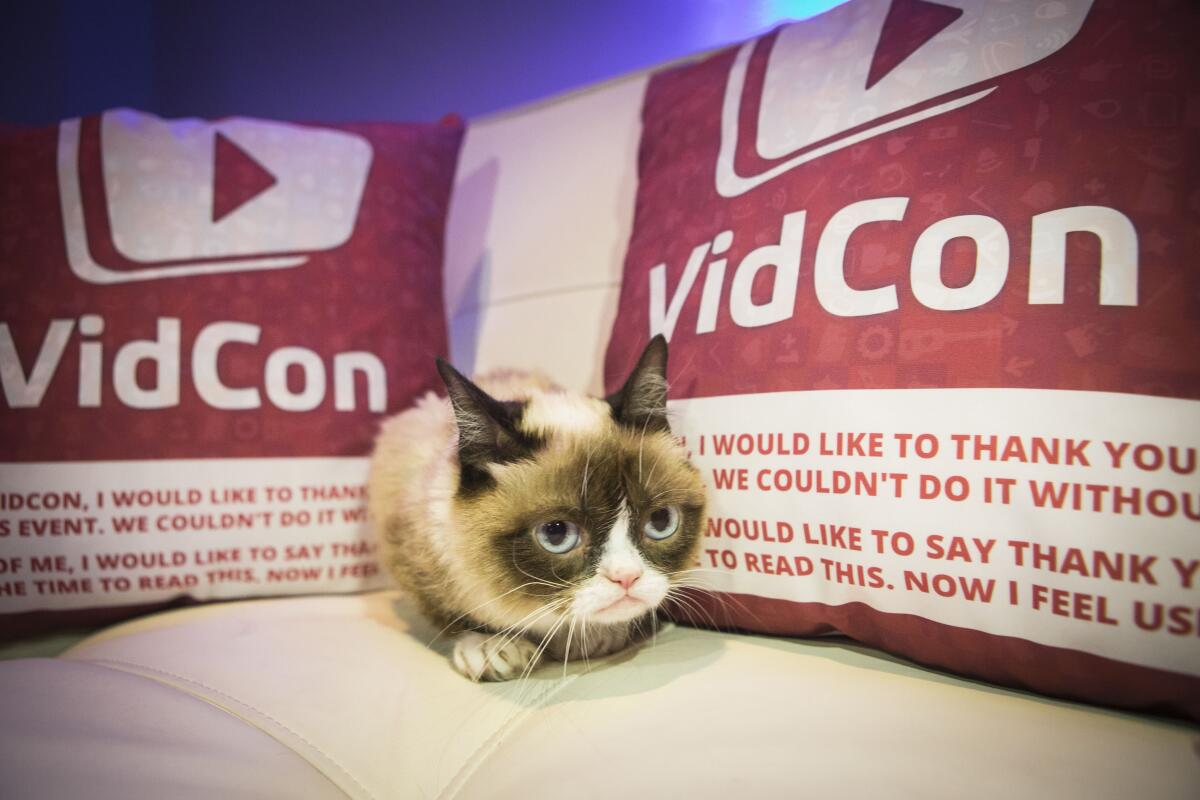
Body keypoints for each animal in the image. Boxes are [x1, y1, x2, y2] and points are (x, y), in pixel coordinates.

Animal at [364, 335, 700, 681]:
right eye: (556, 534)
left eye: (660, 521)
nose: (627, 578)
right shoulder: (412, 552)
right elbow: (455, 613)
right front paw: (490, 645)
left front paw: (593, 635)